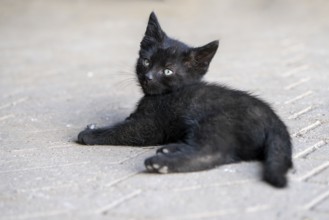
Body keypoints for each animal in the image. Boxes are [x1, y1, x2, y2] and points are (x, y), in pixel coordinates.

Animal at [77, 12, 292, 187]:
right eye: (146, 61)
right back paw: (171, 149)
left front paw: (89, 134)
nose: (148, 77)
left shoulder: (149, 127)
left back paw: (160, 163)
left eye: (167, 71)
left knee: (212, 153)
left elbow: (122, 130)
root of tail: (275, 121)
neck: (163, 95)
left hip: (214, 122)